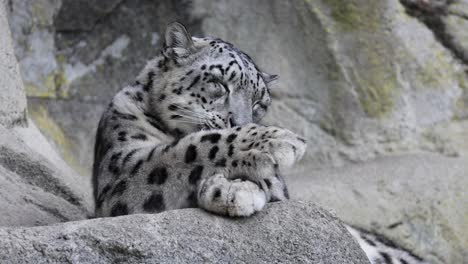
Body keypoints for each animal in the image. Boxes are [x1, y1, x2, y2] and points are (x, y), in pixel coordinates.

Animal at [93, 22, 430, 264]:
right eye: (218, 83)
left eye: (259, 103)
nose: (241, 121)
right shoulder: (122, 170)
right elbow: (185, 149)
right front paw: (274, 143)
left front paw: (235, 188)